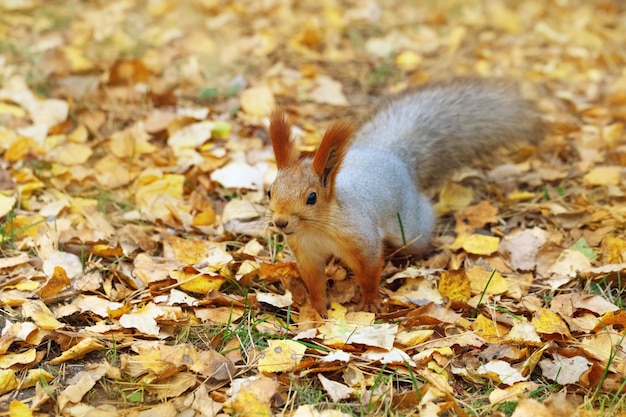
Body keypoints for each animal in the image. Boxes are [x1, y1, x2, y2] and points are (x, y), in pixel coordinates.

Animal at [266, 76, 540, 316]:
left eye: (311, 197)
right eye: (270, 191)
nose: (281, 222)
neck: (317, 229)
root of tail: (393, 157)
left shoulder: (363, 239)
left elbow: (369, 273)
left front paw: (370, 302)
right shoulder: (305, 253)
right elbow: (314, 283)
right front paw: (317, 308)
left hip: (410, 228)